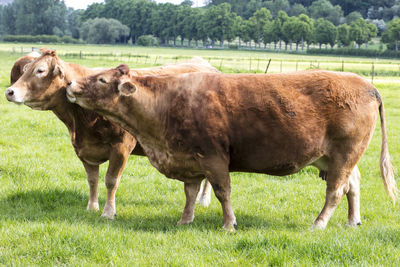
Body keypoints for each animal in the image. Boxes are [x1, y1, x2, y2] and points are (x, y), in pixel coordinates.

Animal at [4, 49, 217, 220]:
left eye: (40, 71)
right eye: (26, 69)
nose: (10, 91)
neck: (81, 121)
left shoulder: (121, 147)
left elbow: (111, 180)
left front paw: (108, 212)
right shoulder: (84, 149)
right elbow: (92, 180)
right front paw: (92, 207)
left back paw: (204, 200)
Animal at [66, 65, 396, 232]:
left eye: (101, 79)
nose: (70, 85)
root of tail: (367, 85)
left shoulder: (214, 157)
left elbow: (222, 192)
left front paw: (228, 224)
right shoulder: (189, 159)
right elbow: (190, 193)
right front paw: (185, 220)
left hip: (344, 154)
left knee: (336, 191)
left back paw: (318, 224)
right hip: (334, 158)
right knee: (353, 184)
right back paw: (353, 221)